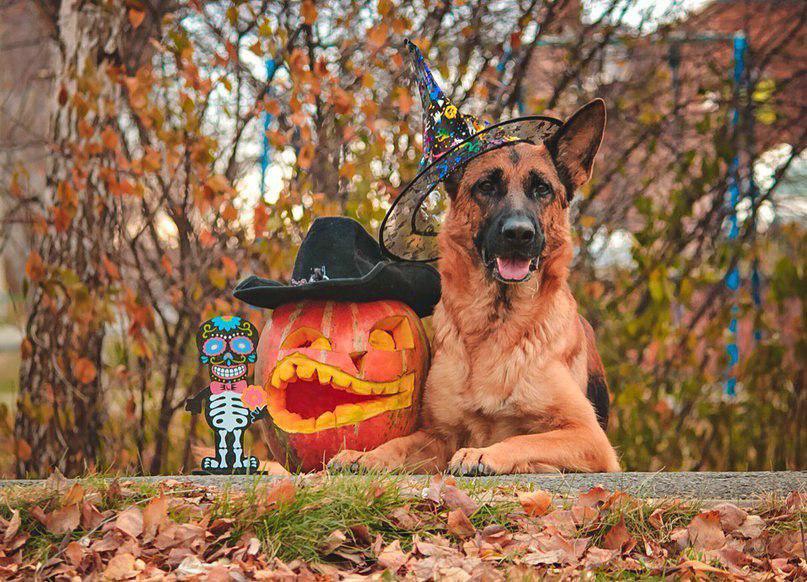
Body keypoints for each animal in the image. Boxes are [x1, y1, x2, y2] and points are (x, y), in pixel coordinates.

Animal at [332, 100, 620, 474]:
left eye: (542, 189)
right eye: (486, 186)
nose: (518, 234)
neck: (496, 325)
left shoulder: (591, 439)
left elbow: (524, 439)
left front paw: (485, 454)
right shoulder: (437, 436)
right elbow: (397, 444)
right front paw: (365, 456)